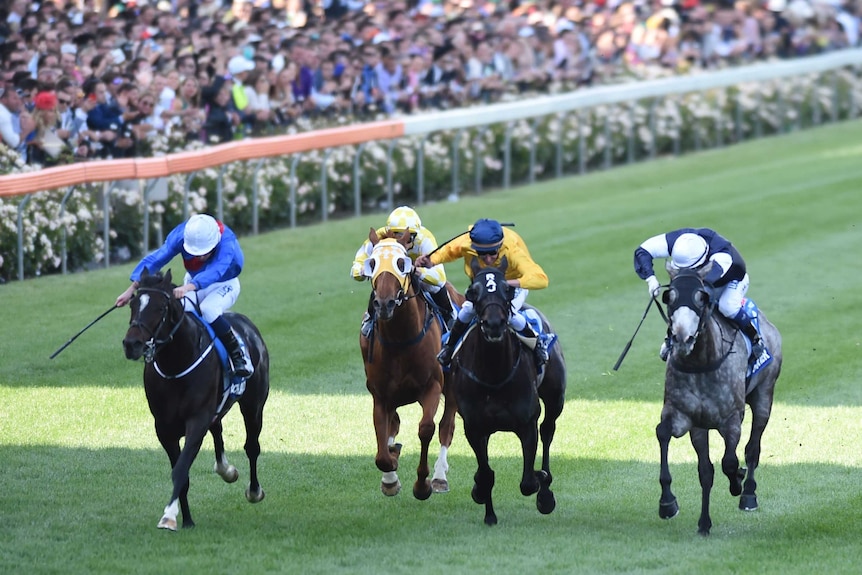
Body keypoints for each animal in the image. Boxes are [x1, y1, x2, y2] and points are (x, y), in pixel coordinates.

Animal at [122, 270, 270, 532]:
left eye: (160, 308)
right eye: (133, 304)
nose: (132, 344)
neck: (177, 363)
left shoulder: (196, 420)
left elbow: (181, 470)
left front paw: (169, 516)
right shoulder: (164, 428)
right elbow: (180, 472)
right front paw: (186, 519)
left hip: (253, 405)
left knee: (252, 446)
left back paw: (254, 491)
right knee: (218, 429)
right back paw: (225, 469)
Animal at [360, 230, 466, 500]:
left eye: (401, 263)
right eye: (372, 263)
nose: (384, 303)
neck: (401, 341)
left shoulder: (432, 386)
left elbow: (426, 428)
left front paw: (422, 485)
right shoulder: (381, 395)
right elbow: (382, 446)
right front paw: (390, 476)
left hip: (452, 386)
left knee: (446, 427)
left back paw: (439, 477)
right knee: (395, 424)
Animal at [452, 260, 568, 528]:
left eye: (507, 289)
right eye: (472, 291)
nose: (494, 323)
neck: (493, 376)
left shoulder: (527, 424)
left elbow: (528, 482)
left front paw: (542, 484)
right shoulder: (474, 427)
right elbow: (485, 474)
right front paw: (487, 508)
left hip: (555, 397)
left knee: (548, 430)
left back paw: (545, 487)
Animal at [660, 264, 788, 536]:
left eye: (701, 297)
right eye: (670, 297)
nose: (682, 338)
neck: (701, 363)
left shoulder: (731, 419)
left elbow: (729, 462)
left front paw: (737, 482)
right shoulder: (688, 418)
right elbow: (700, 466)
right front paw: (671, 505)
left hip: (764, 395)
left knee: (753, 449)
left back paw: (748, 493)